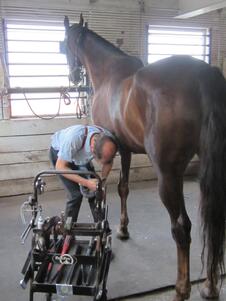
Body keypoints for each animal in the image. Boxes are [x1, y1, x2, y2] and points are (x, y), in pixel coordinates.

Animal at [62, 14, 226, 300]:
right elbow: (124, 187)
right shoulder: (125, 149)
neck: (109, 73)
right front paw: (124, 228)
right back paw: (210, 285)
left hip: (169, 175)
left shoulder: (110, 151)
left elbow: (109, 188)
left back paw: (182, 289)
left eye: (65, 45)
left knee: (181, 228)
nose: (73, 76)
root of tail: (205, 77)